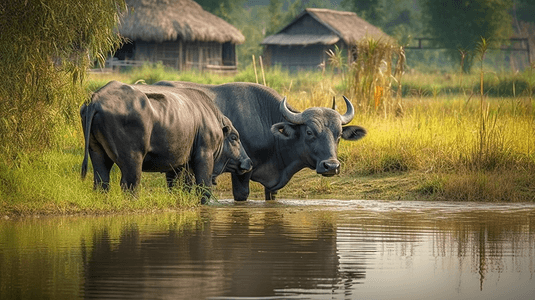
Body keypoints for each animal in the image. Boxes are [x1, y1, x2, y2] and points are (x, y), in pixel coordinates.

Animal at [81, 81, 253, 203]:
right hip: (132, 159)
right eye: (234, 137)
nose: (248, 162)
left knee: (102, 182)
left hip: (97, 154)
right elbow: (203, 189)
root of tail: (96, 99)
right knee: (130, 185)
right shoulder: (204, 156)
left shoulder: (179, 165)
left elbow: (180, 188)